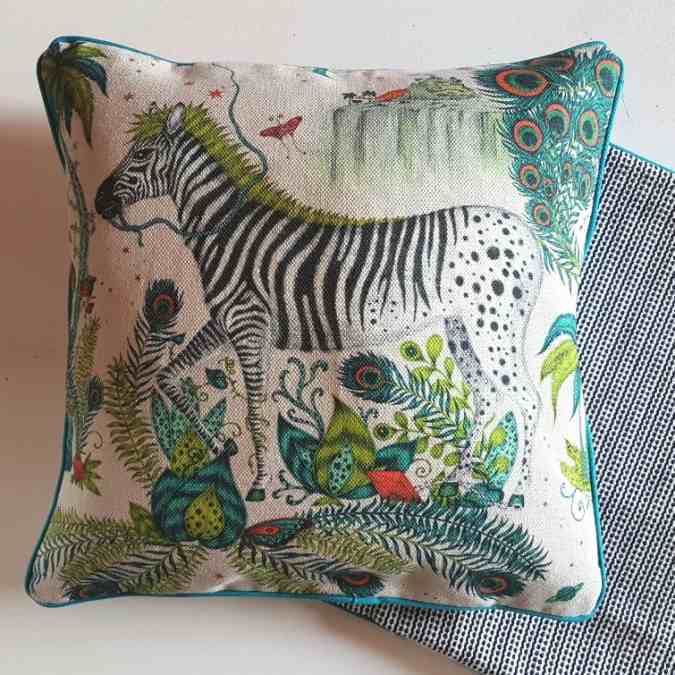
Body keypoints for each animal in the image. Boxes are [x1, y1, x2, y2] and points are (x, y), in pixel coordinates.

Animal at [95, 102, 543, 503]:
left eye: (141, 155)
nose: (99, 202)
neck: (227, 231)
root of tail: (525, 231)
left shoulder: (248, 323)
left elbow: (254, 410)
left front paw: (258, 484)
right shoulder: (225, 323)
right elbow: (168, 378)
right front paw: (223, 448)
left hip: (492, 327)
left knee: (529, 399)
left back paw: (517, 493)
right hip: (461, 326)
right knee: (487, 394)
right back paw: (457, 481)